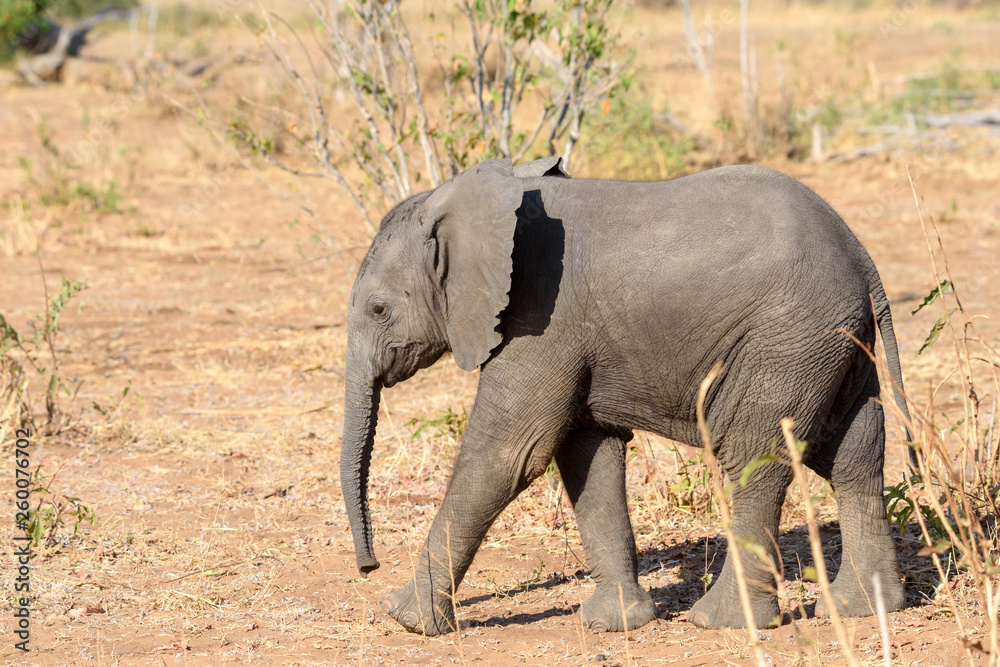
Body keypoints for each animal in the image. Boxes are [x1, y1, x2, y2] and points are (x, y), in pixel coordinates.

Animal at [341, 156, 911, 636]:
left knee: (755, 460)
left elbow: (510, 455)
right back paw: (864, 608)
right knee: (854, 454)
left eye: (378, 310)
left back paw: (721, 622)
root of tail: (862, 258)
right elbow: (587, 452)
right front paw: (616, 624)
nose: (368, 567)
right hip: (834, 345)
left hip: (788, 340)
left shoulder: (542, 321)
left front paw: (406, 619)